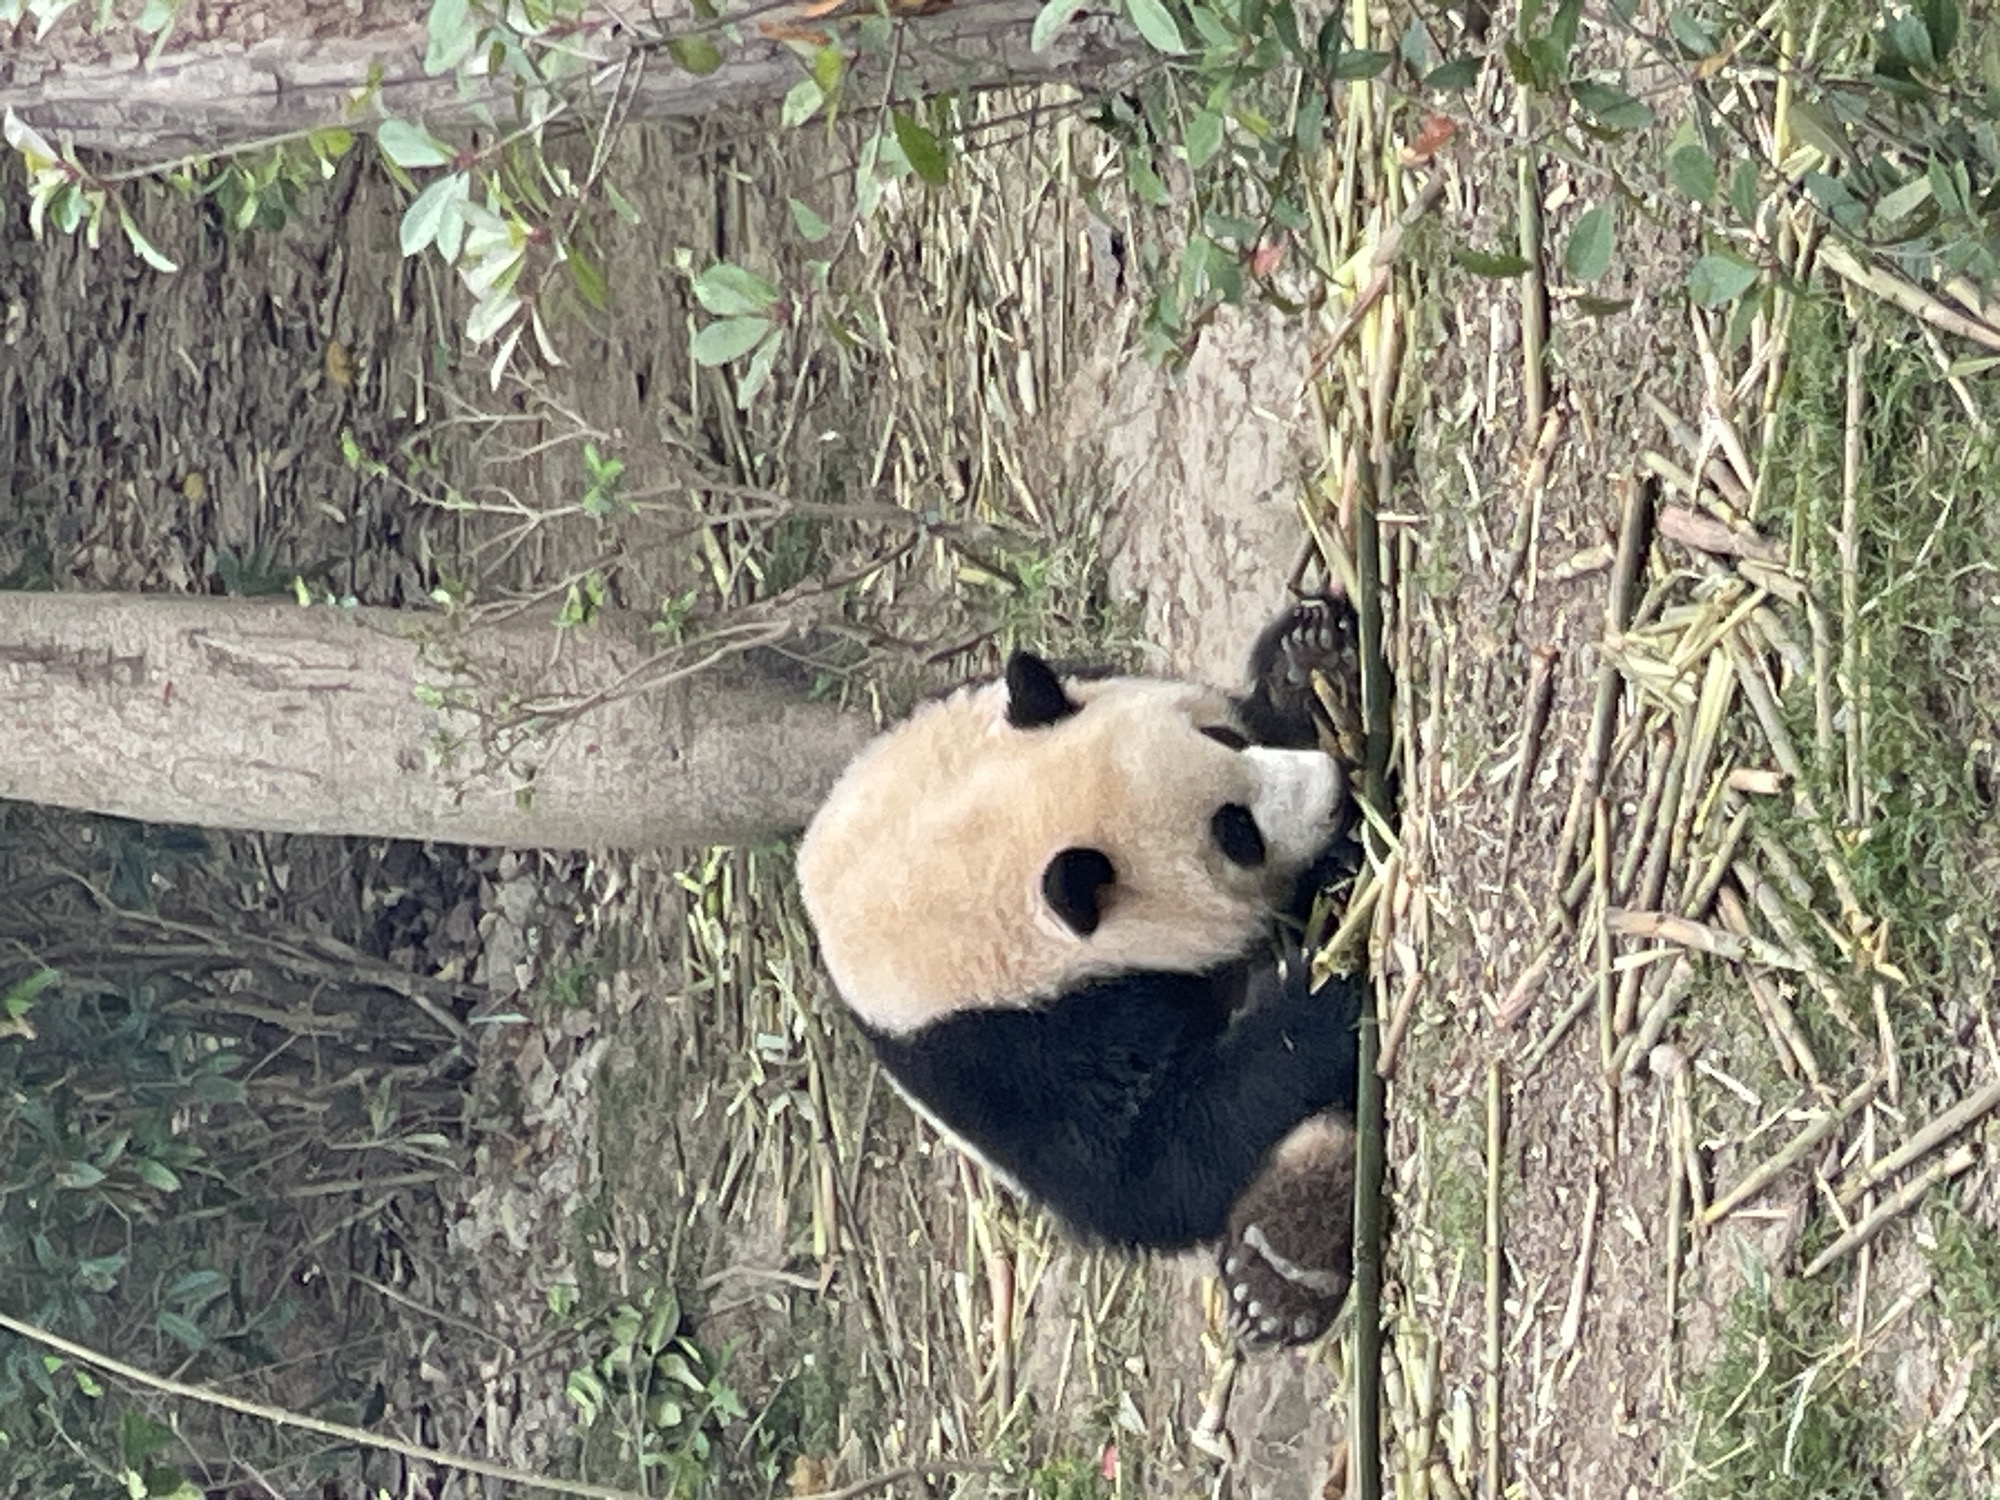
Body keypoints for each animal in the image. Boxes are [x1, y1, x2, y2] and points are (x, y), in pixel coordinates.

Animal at [796, 599, 1368, 1348]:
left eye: (1220, 736)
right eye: (1235, 831)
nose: (1331, 790)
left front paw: (1308, 659)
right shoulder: (1007, 1056)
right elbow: (1151, 1166)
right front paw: (1322, 993)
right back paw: (1277, 1266)